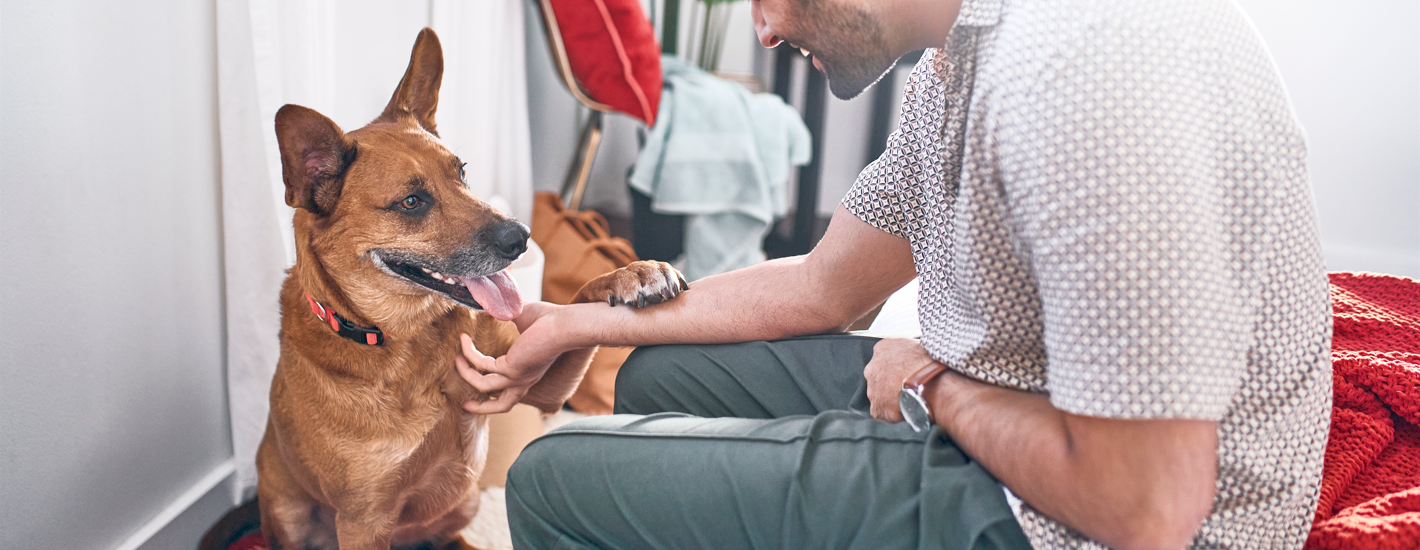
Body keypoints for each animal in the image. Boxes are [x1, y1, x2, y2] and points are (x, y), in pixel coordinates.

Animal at [257, 30, 687, 550]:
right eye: (412, 202)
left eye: (461, 172)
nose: (522, 238)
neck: (411, 342)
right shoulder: (364, 521)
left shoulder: (545, 389)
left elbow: (577, 301)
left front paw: (633, 273)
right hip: (289, 509)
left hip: (467, 499)